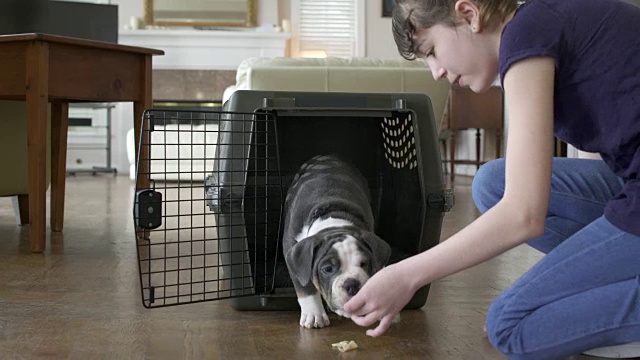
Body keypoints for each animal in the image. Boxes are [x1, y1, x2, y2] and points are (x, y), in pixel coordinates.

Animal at [284, 155, 392, 330]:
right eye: (327, 269)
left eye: (365, 263)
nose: (352, 284)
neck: (334, 220)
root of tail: (329, 155)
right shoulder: (292, 252)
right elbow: (304, 285)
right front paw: (314, 315)